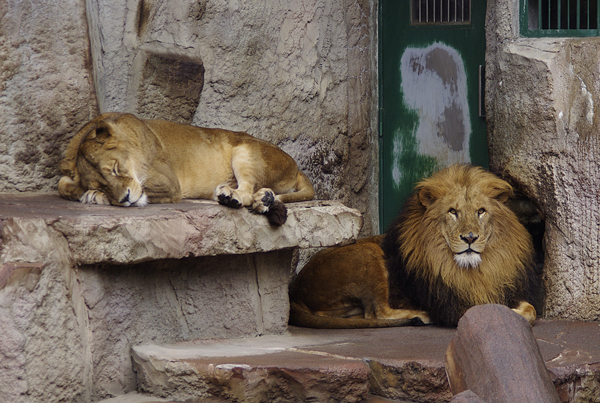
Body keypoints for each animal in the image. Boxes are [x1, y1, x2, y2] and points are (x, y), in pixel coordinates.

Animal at [58, 113, 316, 226]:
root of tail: (296, 166)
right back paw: (264, 198)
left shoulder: (169, 184)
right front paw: (90, 193)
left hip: (245, 151)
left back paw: (233, 196)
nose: (126, 199)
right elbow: (62, 184)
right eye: (102, 183)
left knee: (245, 191)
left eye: (114, 169)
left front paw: (94, 197)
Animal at [288, 164, 536, 328]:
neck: (471, 271)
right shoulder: (456, 304)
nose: (470, 238)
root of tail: (295, 289)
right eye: (453, 212)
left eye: (481, 211)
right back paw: (421, 316)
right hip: (367, 254)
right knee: (377, 312)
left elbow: (531, 309)